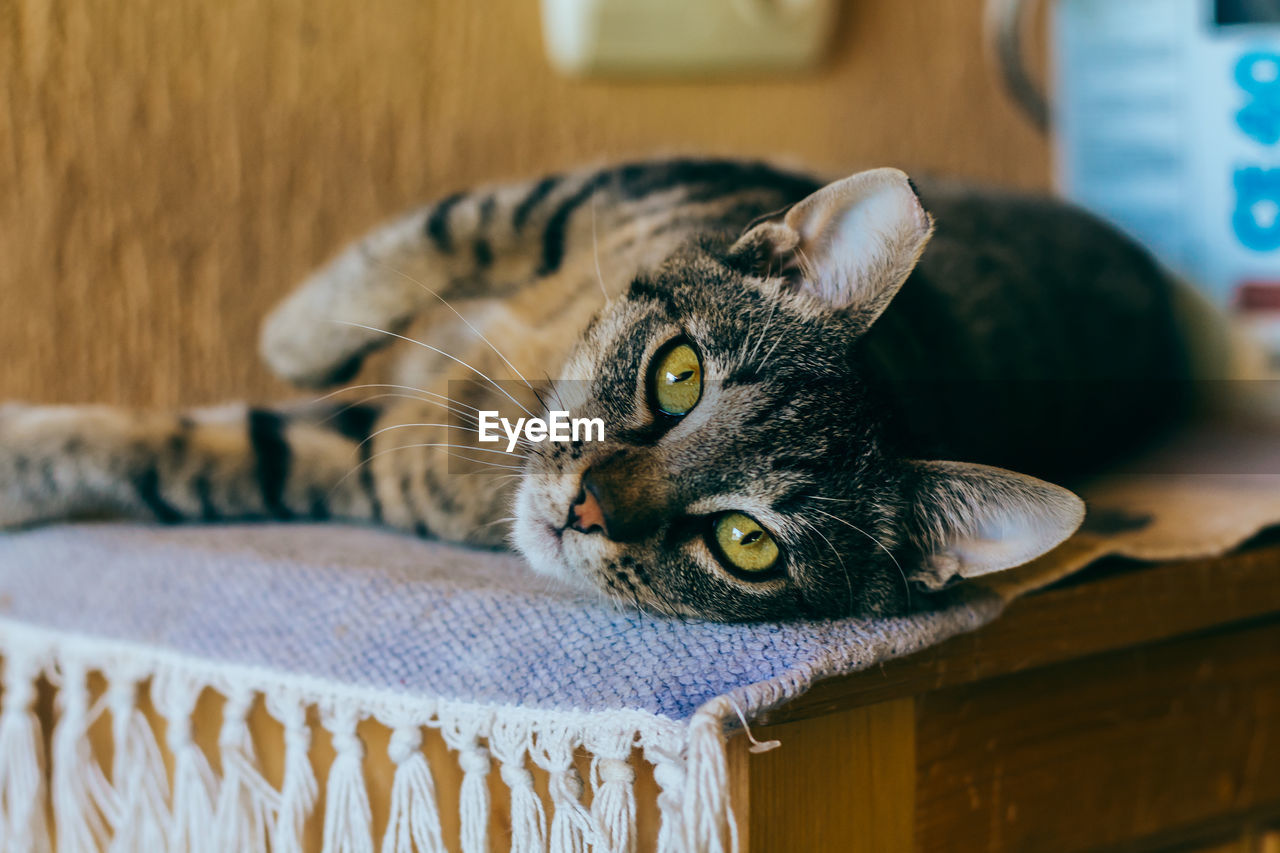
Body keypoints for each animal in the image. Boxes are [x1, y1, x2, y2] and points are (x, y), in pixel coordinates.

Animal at [0, 156, 1187, 617]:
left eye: (746, 542)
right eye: (679, 374)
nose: (582, 507)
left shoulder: (363, 463)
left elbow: (188, 454)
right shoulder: (589, 190)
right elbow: (435, 231)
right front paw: (299, 332)